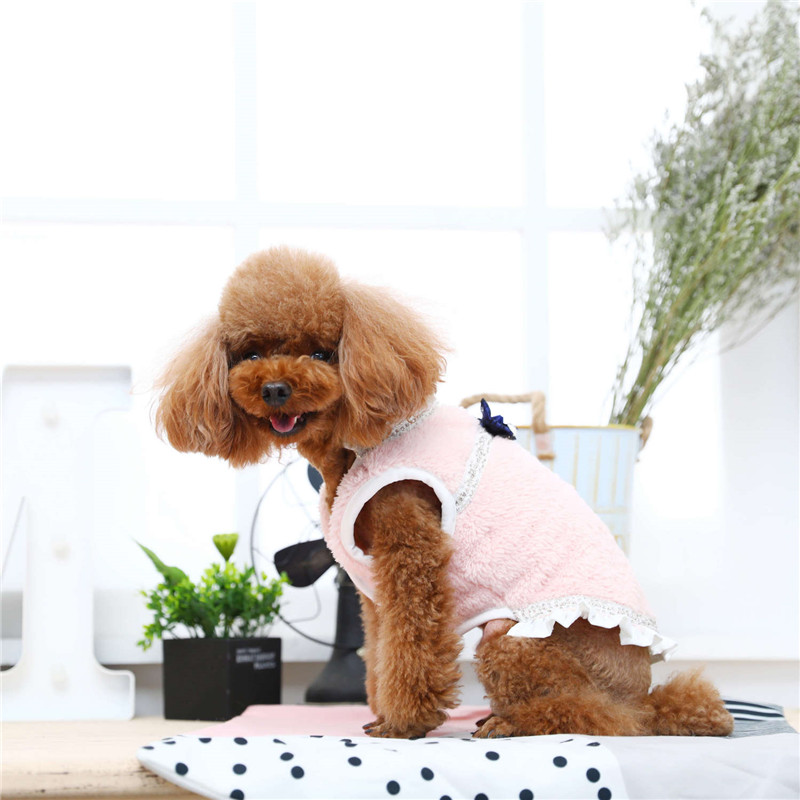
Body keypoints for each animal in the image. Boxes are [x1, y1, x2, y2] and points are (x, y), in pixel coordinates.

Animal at [156, 246, 734, 739]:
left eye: (322, 351)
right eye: (249, 352)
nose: (275, 388)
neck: (355, 446)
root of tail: (643, 691)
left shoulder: (411, 553)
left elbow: (412, 643)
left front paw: (403, 724)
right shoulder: (373, 587)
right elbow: (382, 651)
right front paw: (384, 712)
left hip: (510, 641)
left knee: (600, 717)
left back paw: (510, 723)